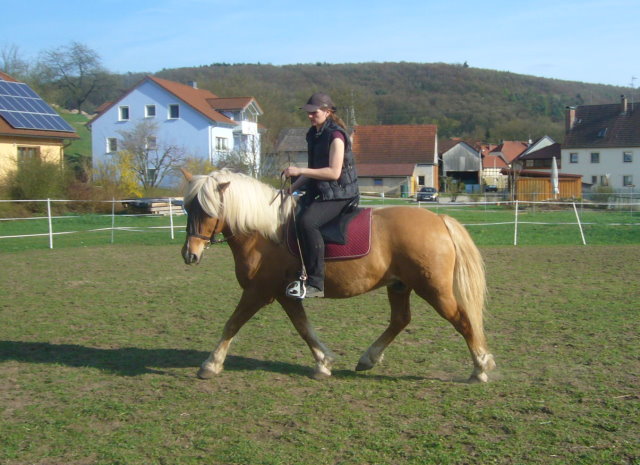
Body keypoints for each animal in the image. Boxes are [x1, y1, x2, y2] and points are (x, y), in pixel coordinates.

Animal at [179, 169, 496, 382]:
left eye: (207, 209)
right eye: (186, 207)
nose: (189, 254)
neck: (266, 234)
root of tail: (439, 220)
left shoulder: (258, 292)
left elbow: (232, 324)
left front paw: (210, 364)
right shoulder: (285, 294)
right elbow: (304, 328)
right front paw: (323, 362)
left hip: (433, 288)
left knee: (463, 320)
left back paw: (480, 369)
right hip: (399, 285)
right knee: (400, 320)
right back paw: (368, 359)